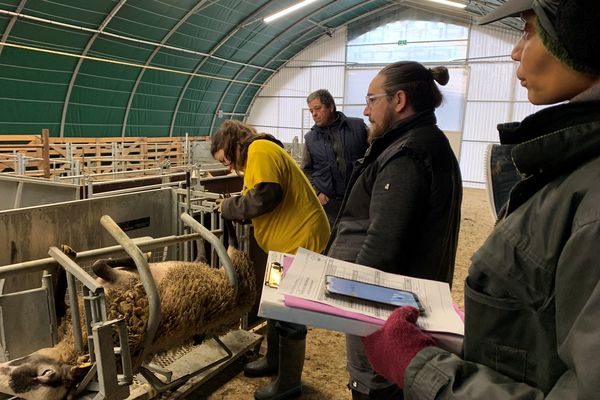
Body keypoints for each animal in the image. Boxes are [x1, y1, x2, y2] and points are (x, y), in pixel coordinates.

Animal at [0, 247, 255, 400]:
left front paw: (67, 252)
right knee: (206, 260)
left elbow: (90, 269)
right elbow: (98, 264)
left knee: (206, 258)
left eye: (45, 374)